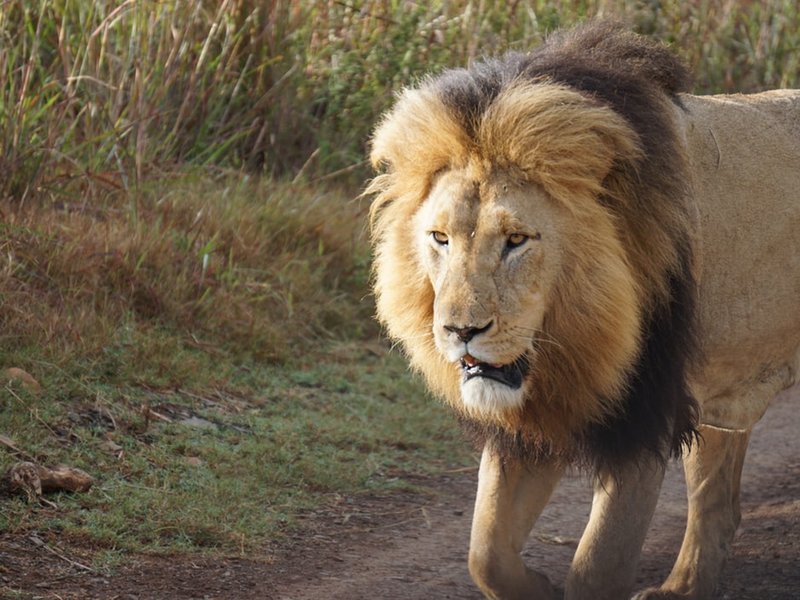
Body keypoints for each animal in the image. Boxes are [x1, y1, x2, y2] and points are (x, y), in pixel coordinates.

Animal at [366, 21, 800, 600]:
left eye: (517, 240)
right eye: (440, 238)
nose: (460, 331)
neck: (572, 340)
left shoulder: (644, 415)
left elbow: (597, 566)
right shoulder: (530, 422)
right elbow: (486, 553)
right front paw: (538, 586)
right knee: (717, 506)